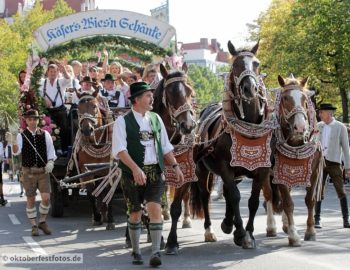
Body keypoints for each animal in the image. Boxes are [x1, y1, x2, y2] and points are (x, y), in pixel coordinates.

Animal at [75, 89, 115, 229]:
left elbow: (108, 190)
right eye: (78, 108)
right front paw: (97, 217)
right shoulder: (86, 170)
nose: (87, 130)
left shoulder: (109, 169)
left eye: (94, 106)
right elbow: (91, 193)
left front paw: (110, 220)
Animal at [190, 41, 278, 250]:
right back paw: (210, 230)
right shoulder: (225, 168)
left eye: (257, 63)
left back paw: (227, 223)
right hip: (202, 170)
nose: (249, 88)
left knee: (227, 193)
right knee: (206, 195)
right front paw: (240, 233)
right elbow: (236, 197)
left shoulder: (261, 169)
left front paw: (249, 234)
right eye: (235, 64)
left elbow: (252, 200)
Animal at [270, 75, 322, 246]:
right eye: (285, 98)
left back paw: (285, 224)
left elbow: (310, 200)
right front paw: (293, 235)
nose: (300, 127)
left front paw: (310, 231)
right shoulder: (278, 173)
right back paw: (271, 227)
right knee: (268, 197)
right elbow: (288, 203)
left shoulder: (314, 170)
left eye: (305, 99)